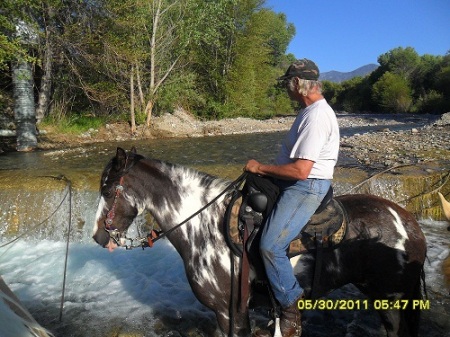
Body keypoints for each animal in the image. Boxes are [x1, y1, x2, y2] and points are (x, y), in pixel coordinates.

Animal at [92, 148, 426, 336]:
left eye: (107, 190)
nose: (98, 236)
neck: (204, 225)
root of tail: (409, 221)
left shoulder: (228, 311)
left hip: (390, 298)